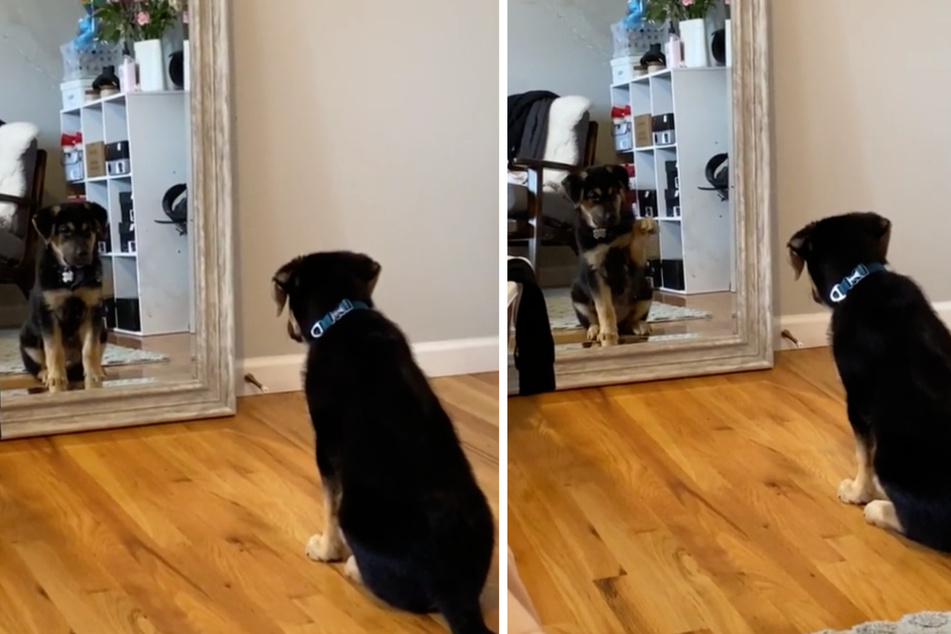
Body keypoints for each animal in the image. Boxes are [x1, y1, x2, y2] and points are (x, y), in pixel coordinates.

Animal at [20, 202, 108, 390]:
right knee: (37, 365)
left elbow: (90, 349)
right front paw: (57, 379)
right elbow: (54, 349)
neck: (71, 276)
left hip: (103, 332)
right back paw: (47, 374)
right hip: (28, 340)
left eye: (88, 230)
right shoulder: (48, 313)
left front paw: (93, 376)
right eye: (64, 231)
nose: (83, 254)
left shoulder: (92, 310)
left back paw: (99, 369)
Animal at [270, 252, 498, 632]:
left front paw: (325, 550)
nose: (288, 330)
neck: (342, 313)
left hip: (355, 514)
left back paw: (352, 566)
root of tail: (454, 588)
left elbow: (328, 504)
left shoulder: (325, 446)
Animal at [560, 164, 660, 346]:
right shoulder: (595, 271)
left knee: (631, 320)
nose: (612, 218)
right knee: (591, 320)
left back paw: (639, 325)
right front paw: (607, 334)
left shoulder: (634, 262)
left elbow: (635, 237)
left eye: (614, 193)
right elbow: (604, 308)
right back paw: (596, 330)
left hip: (646, 290)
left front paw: (646, 223)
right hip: (577, 297)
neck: (606, 234)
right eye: (593, 196)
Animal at [784, 211, 951, 548]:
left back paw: (878, 509)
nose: (813, 294)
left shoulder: (857, 400)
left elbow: (863, 454)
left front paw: (857, 492)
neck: (860, 279)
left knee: (928, 525)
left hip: (893, 457)